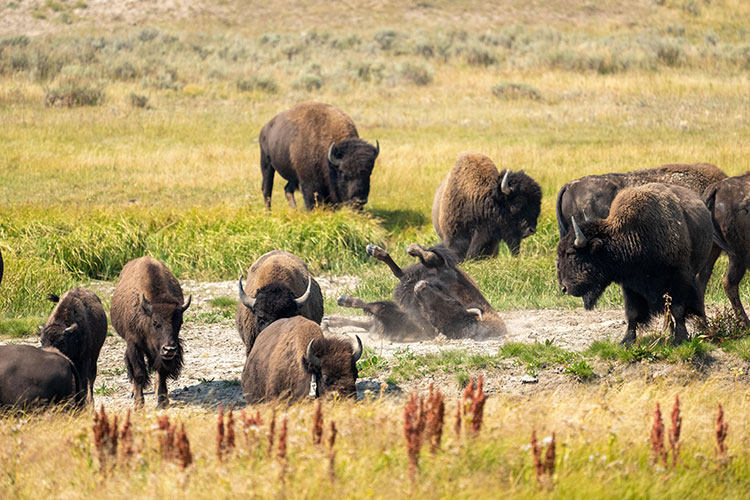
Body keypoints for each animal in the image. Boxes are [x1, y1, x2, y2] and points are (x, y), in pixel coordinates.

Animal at [113, 256, 194, 408]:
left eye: (179, 322)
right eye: (155, 323)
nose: (170, 349)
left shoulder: (159, 352)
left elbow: (161, 371)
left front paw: (162, 401)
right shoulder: (133, 344)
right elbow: (138, 373)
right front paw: (139, 404)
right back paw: (133, 392)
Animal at [334, 241, 506, 340]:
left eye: (433, 317)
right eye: (453, 302)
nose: (420, 287)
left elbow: (376, 307)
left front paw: (344, 299)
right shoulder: (450, 276)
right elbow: (431, 258)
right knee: (408, 269)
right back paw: (376, 250)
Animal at [560, 183, 716, 344]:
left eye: (572, 254)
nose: (564, 288)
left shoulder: (679, 276)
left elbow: (677, 309)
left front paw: (680, 339)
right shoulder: (630, 285)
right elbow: (632, 313)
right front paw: (626, 341)